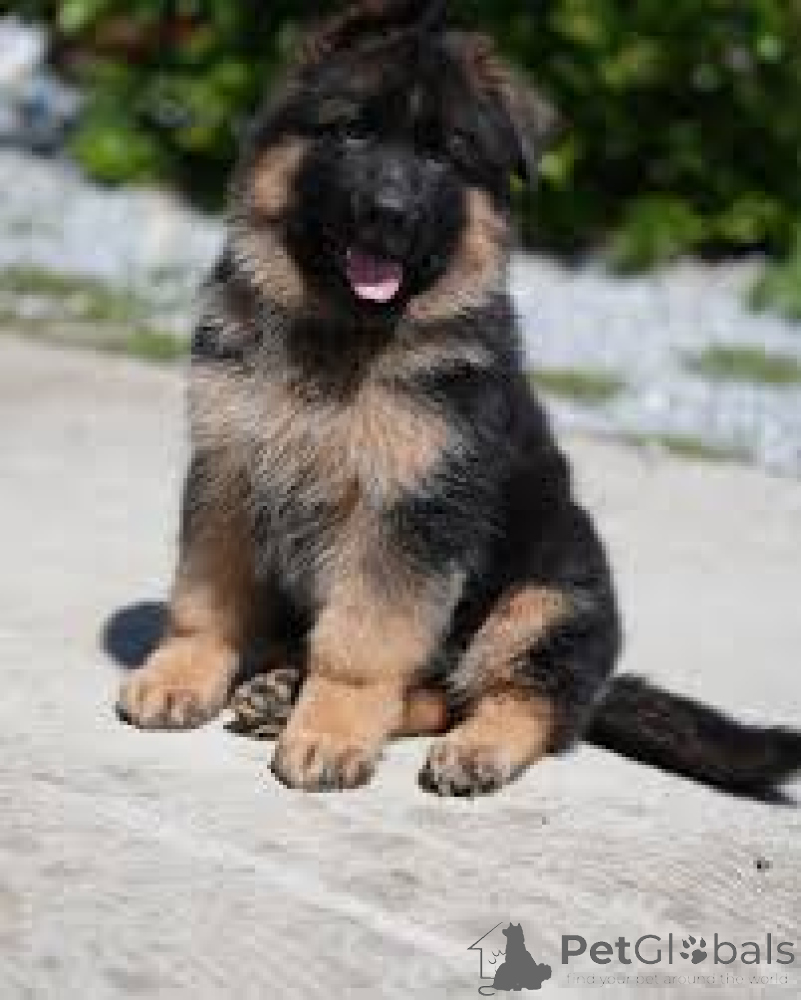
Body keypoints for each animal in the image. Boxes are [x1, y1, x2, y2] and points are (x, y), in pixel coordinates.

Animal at [118, 0, 801, 799]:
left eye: (444, 155)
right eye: (352, 131)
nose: (387, 213)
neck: (346, 332)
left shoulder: (408, 515)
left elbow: (363, 645)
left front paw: (330, 732)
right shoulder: (228, 472)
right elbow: (209, 595)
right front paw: (182, 675)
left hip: (551, 588)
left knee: (521, 700)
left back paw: (474, 749)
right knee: (438, 690)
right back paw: (280, 691)